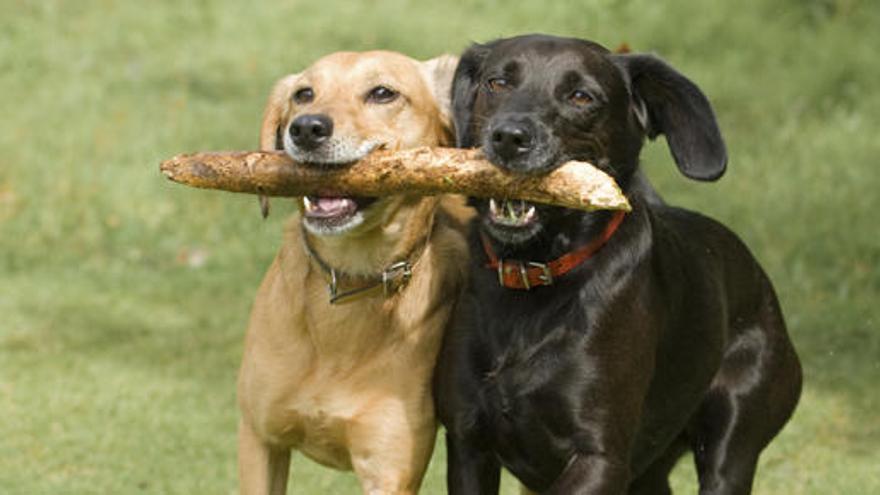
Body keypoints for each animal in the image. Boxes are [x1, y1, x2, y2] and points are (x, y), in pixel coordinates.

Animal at [434, 35, 804, 495]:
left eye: (581, 96)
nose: (509, 136)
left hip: (734, 435)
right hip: (648, 469)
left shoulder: (601, 457)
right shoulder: (469, 442)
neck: (534, 277)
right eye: (497, 82)